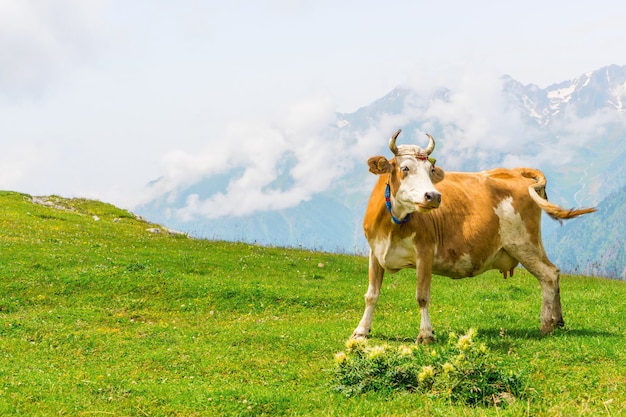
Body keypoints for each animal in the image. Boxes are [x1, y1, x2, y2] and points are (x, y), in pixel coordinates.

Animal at [352, 129, 596, 342]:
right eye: (404, 168)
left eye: (431, 170)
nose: (433, 196)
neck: (393, 224)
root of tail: (515, 171)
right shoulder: (375, 252)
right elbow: (371, 294)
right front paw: (361, 331)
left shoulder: (425, 252)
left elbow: (422, 296)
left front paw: (426, 334)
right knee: (554, 273)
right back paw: (559, 321)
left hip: (524, 243)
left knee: (549, 275)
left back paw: (547, 324)